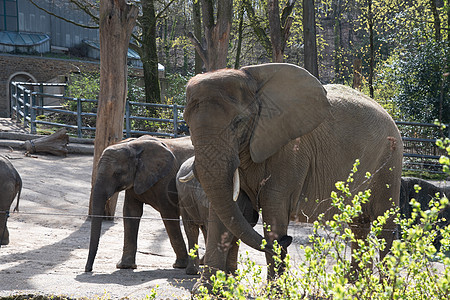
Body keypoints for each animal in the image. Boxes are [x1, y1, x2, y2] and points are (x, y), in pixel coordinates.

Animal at [86, 136, 193, 272]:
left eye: (118, 173)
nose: (88, 269)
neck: (133, 146)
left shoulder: (166, 179)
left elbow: (168, 214)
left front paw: (180, 265)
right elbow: (131, 212)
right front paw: (125, 266)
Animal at [183, 63, 404, 288]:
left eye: (238, 122)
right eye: (187, 123)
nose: (286, 240)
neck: (252, 80)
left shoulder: (290, 152)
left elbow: (273, 207)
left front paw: (274, 290)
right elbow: (224, 210)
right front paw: (205, 289)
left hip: (390, 162)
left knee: (384, 223)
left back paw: (385, 286)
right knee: (359, 224)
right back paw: (355, 282)